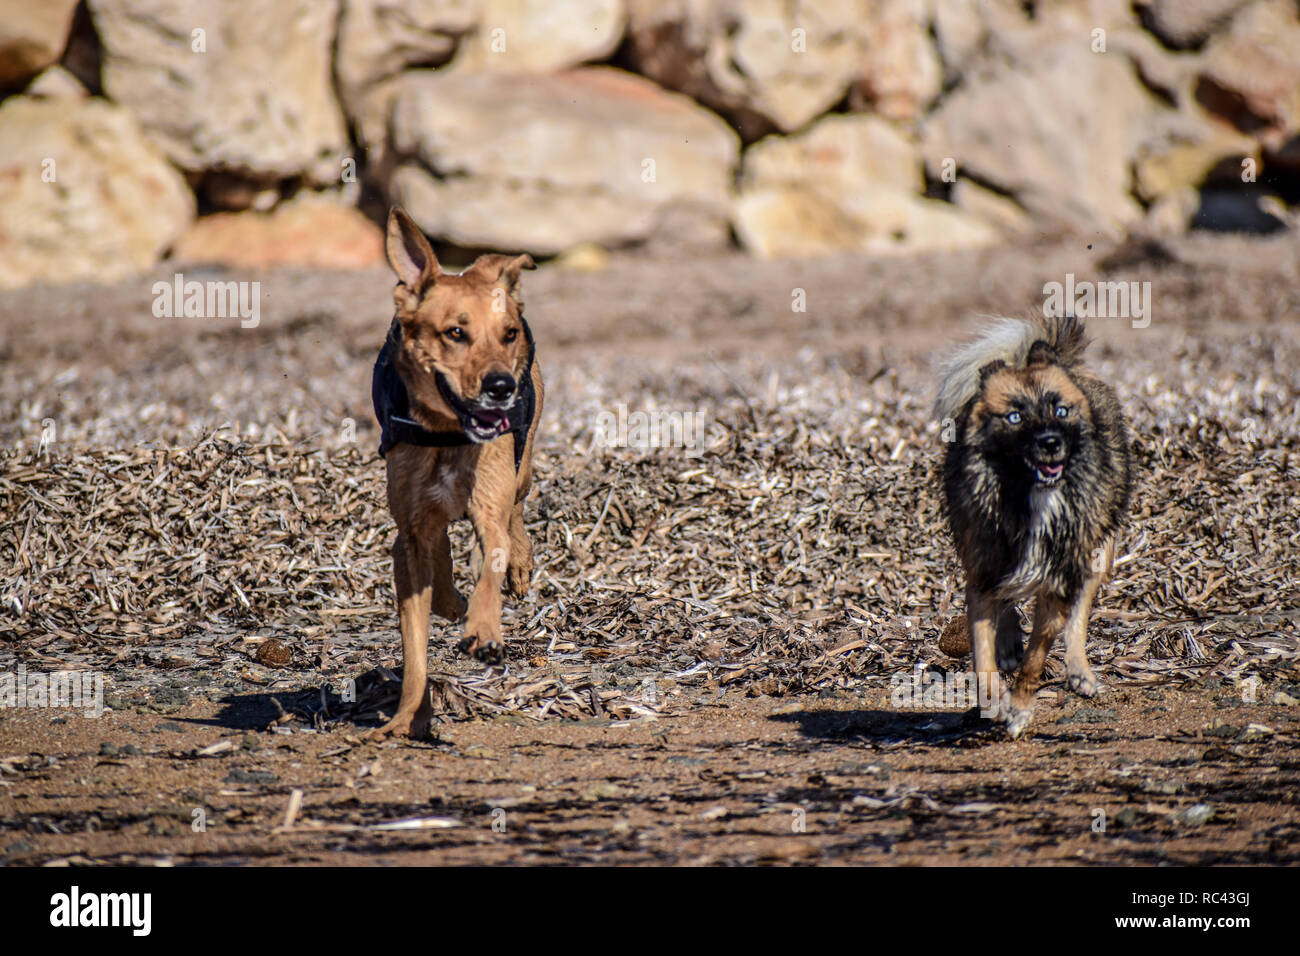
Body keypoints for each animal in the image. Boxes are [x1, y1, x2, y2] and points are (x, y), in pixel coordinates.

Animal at [369, 205, 540, 738]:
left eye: (509, 334)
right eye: (455, 333)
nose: (501, 387)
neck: (447, 434)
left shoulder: (488, 503)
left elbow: (493, 556)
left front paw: (484, 630)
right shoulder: (409, 533)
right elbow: (415, 646)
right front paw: (407, 716)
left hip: (521, 465)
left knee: (517, 509)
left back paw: (519, 567)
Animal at [941, 316, 1133, 738]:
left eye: (1060, 410)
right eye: (1014, 417)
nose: (1049, 443)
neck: (1031, 498)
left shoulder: (1058, 582)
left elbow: (1037, 656)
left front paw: (1019, 709)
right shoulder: (981, 573)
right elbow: (982, 656)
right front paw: (994, 699)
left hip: (1097, 553)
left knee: (1078, 615)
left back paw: (1079, 671)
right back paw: (1010, 641)